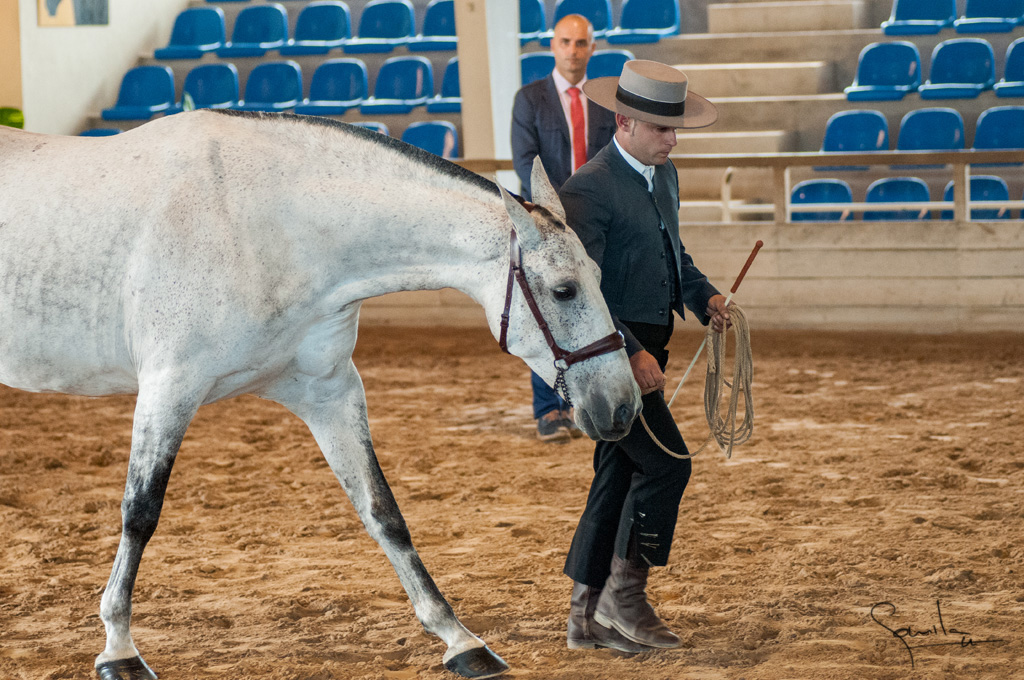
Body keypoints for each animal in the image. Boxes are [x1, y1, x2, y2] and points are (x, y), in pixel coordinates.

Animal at [0, 111, 638, 680]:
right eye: (564, 290)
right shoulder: (168, 388)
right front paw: (119, 651)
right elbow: (140, 513)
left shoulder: (329, 393)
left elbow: (382, 511)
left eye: (600, 276)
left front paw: (460, 640)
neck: (258, 224)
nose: (622, 406)